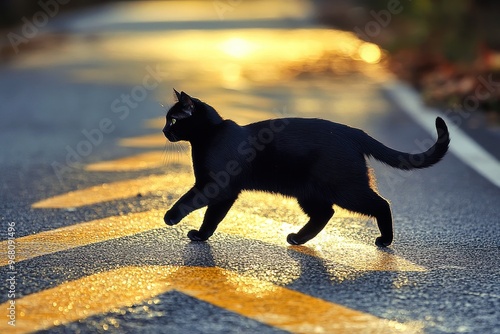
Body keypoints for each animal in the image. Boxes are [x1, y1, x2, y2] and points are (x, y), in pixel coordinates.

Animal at [163, 90, 450, 247]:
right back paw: (298, 239)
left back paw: (385, 241)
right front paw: (202, 236)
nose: (164, 130)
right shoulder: (227, 193)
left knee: (381, 204)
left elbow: (190, 202)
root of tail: (352, 132)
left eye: (173, 119)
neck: (211, 135)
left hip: (346, 189)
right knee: (325, 213)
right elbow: (213, 216)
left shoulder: (215, 185)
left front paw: (171, 218)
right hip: (309, 193)